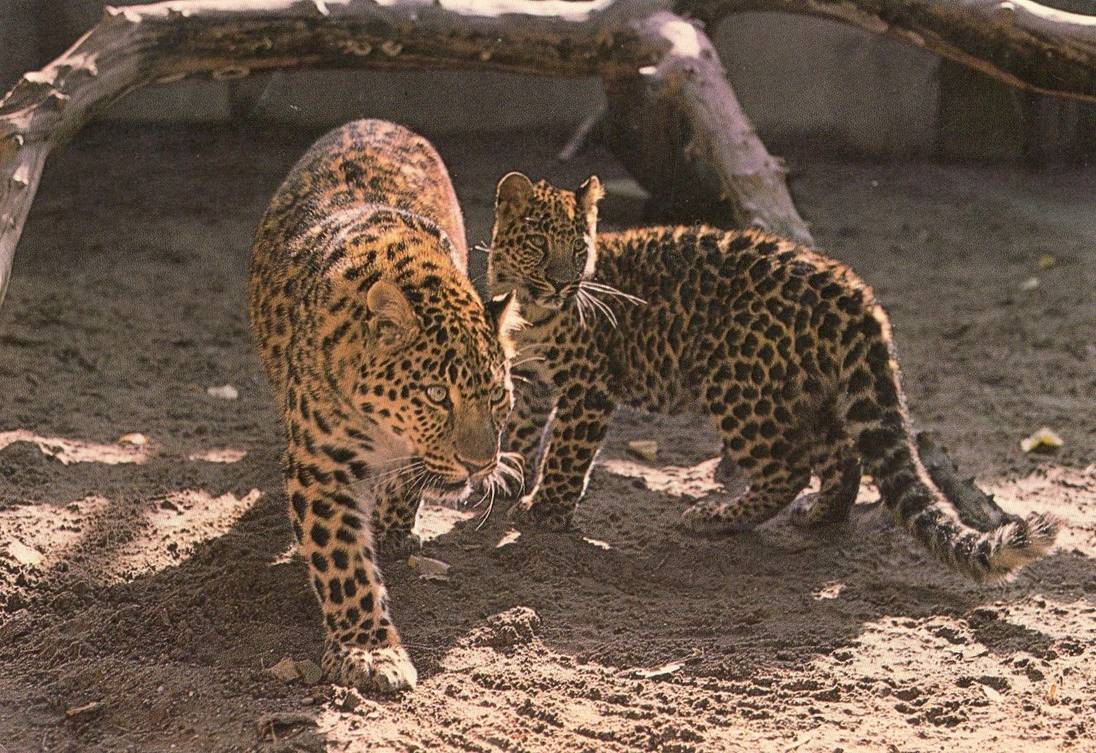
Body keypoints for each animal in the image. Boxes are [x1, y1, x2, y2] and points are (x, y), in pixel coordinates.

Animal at [248, 120, 521, 693]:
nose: (478, 464)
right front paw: (369, 652)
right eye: (437, 394)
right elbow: (342, 562)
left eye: (496, 396)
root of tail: (376, 121)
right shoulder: (319, 463)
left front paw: (396, 527)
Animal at [486, 171, 1058, 583]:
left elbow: (566, 453)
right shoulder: (531, 380)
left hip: (737, 381)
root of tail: (852, 286)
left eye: (578, 249)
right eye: (540, 245)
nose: (564, 283)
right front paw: (509, 474)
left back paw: (715, 517)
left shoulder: (590, 387)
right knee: (843, 454)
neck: (529, 309)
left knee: (788, 466)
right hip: (810, 387)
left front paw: (546, 510)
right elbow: (519, 428)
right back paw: (820, 515)